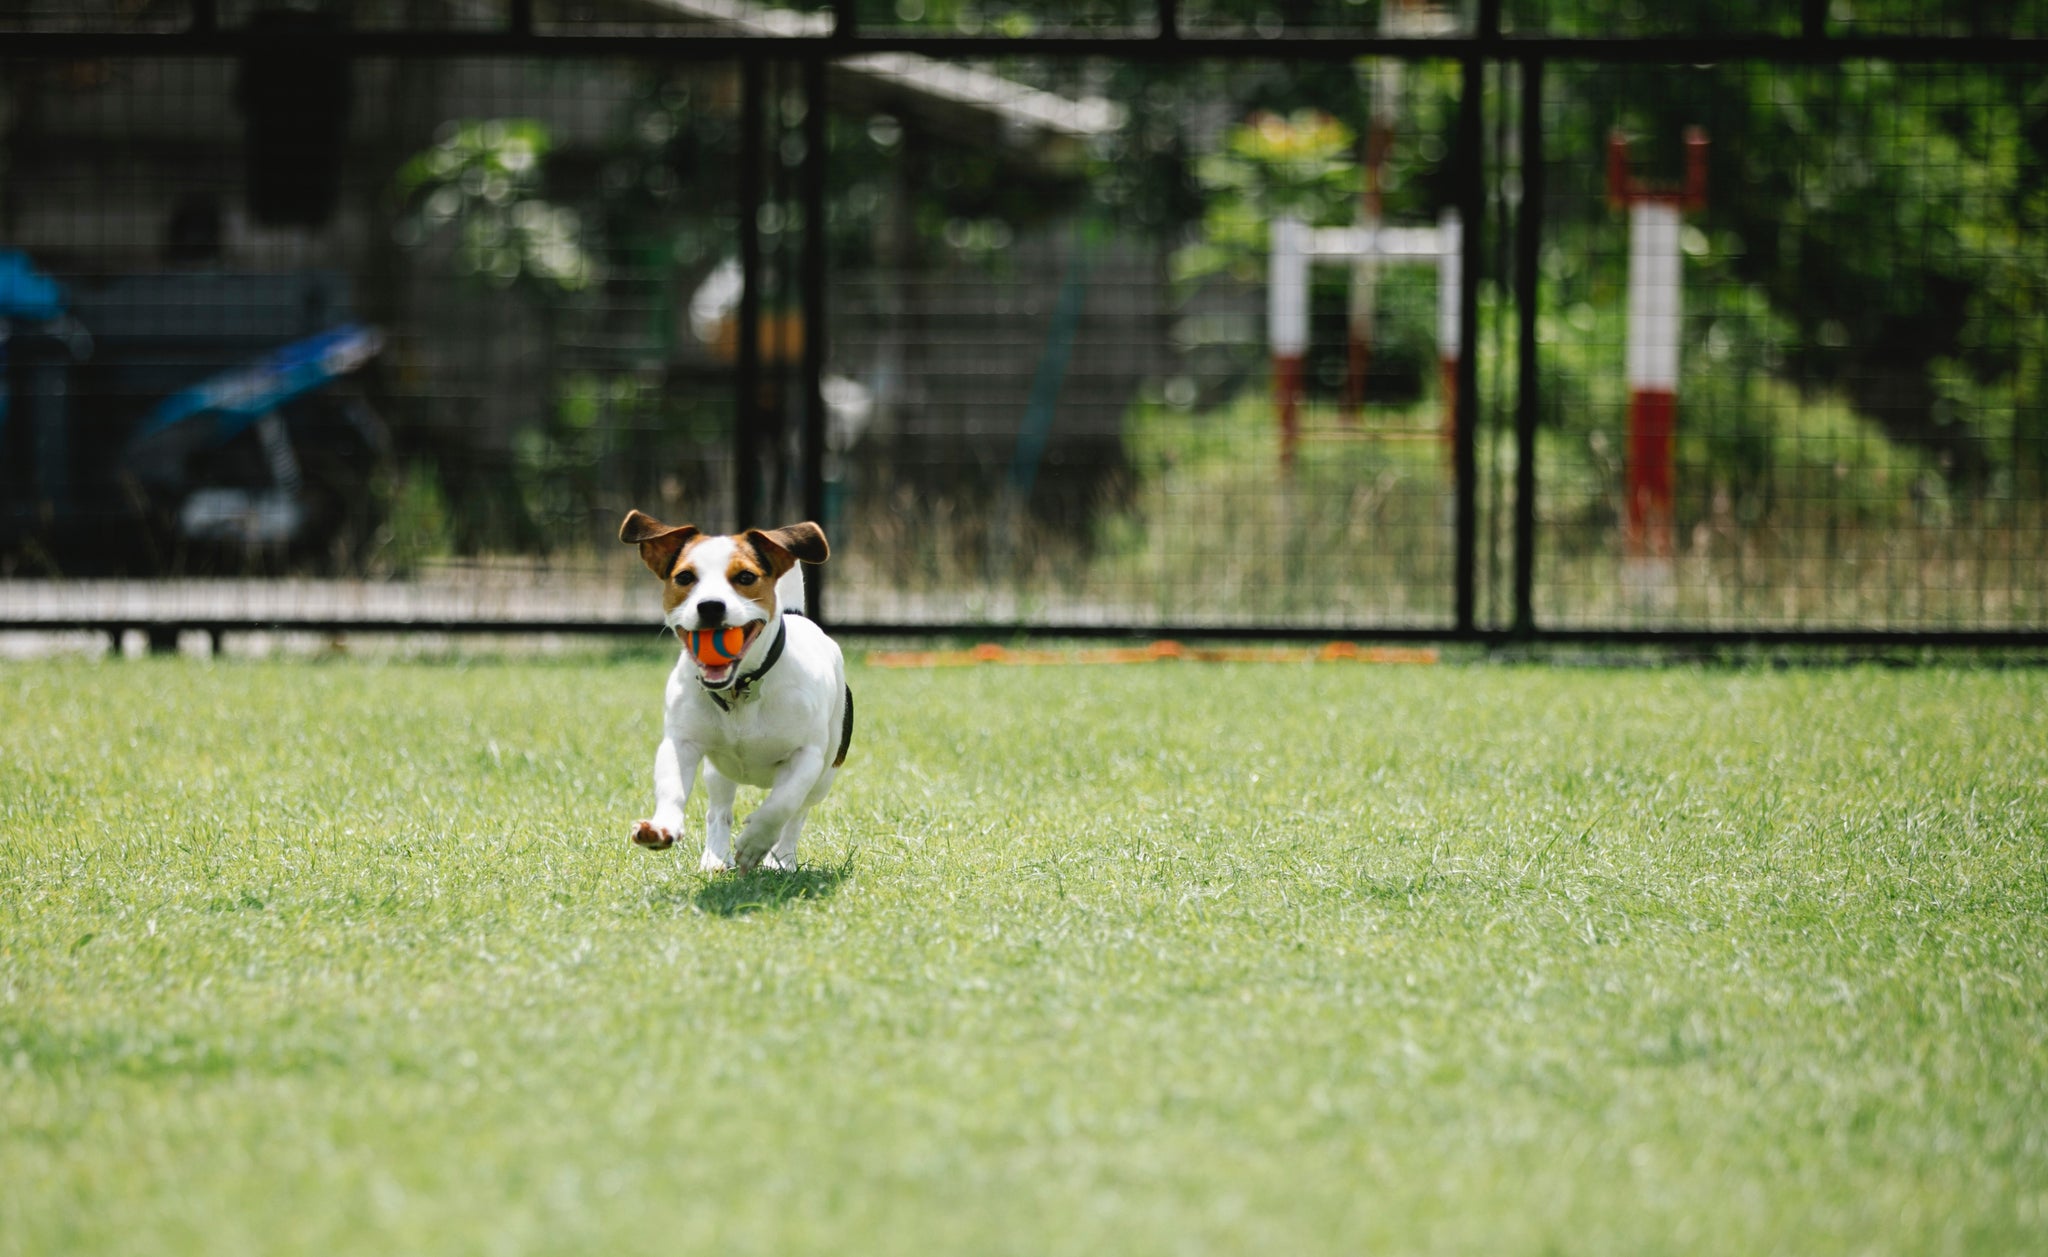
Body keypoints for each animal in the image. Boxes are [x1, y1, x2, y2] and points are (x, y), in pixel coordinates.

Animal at [618, 509, 851, 876]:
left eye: (745, 576)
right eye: (685, 577)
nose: (711, 606)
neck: (740, 690)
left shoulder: (808, 756)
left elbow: (782, 804)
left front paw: (756, 841)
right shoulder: (681, 743)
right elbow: (672, 787)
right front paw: (662, 827)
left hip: (826, 774)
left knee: (797, 814)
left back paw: (782, 859)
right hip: (720, 771)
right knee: (719, 809)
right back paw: (715, 856)